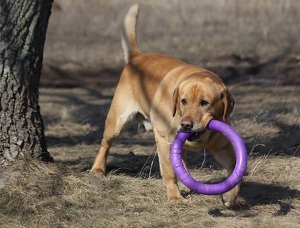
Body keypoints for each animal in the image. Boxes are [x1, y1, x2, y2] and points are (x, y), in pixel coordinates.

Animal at [90, 3, 240, 208]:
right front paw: (174, 197)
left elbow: (235, 171)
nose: (186, 125)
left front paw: (230, 198)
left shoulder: (223, 147)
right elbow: (169, 173)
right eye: (183, 101)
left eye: (204, 103)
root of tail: (137, 57)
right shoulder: (164, 141)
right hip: (117, 122)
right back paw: (97, 169)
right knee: (105, 143)